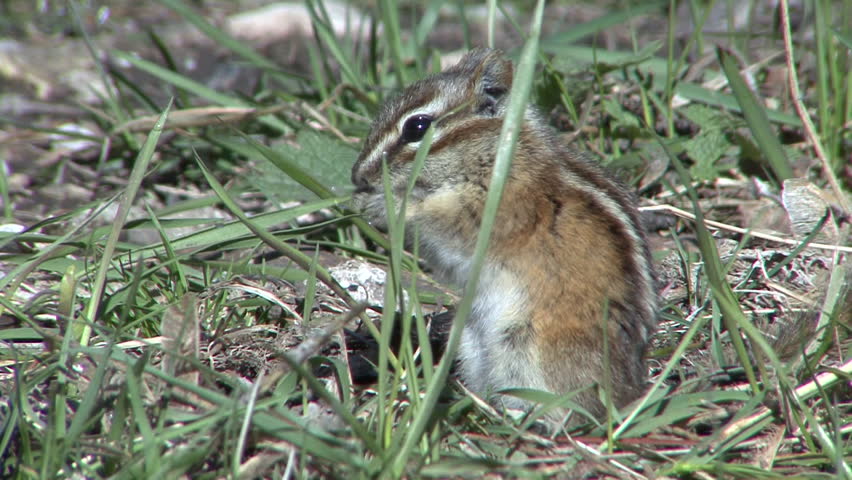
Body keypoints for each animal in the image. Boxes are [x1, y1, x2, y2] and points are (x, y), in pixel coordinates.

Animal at [351, 48, 657, 423]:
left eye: (417, 126)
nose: (358, 176)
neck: (502, 156)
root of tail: (630, 390)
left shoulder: (498, 212)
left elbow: (442, 224)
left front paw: (380, 204)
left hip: (530, 346)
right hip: (474, 343)